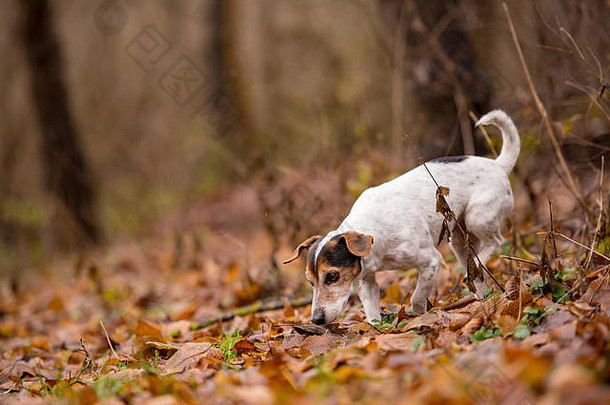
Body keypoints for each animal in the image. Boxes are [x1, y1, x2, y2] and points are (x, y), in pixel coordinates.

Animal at [282, 109, 516, 324]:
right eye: (310, 282)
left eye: (332, 276)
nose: (316, 320)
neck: (374, 234)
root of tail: (497, 164)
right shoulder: (367, 280)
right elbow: (372, 312)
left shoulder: (431, 261)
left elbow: (417, 297)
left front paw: (418, 316)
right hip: (459, 241)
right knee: (476, 267)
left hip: (478, 217)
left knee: (496, 241)